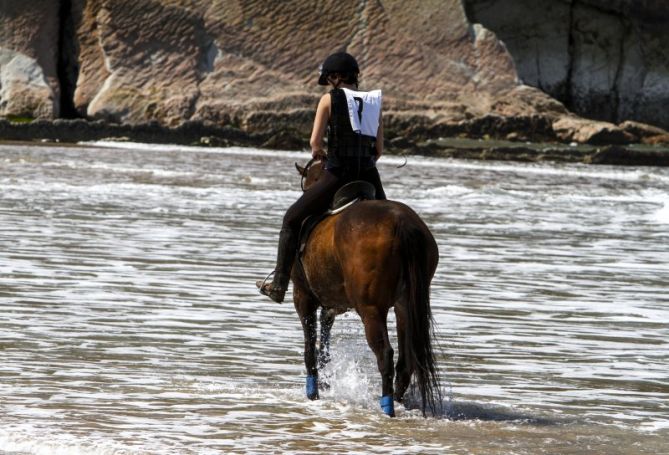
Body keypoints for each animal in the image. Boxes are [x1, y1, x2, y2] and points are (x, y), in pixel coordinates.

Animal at [290, 159, 440, 416]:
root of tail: (402, 223)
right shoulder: (332, 305)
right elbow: (324, 337)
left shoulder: (303, 297)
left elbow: (310, 345)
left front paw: (313, 390)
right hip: (405, 307)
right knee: (406, 360)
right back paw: (397, 400)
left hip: (370, 309)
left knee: (385, 354)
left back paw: (387, 406)